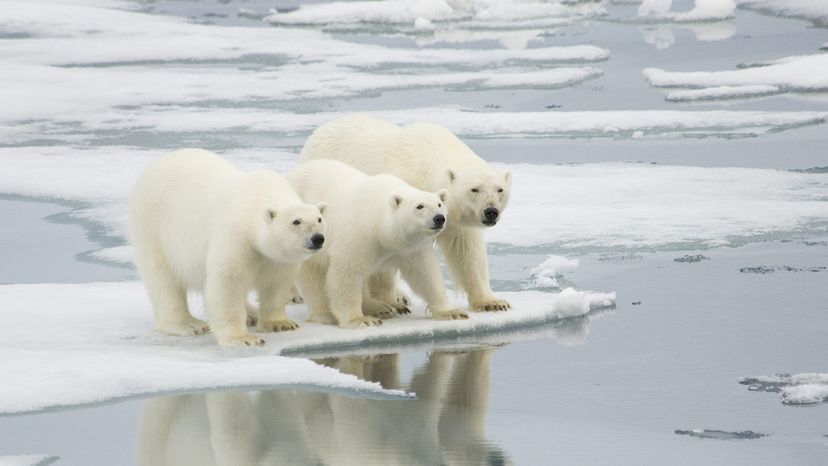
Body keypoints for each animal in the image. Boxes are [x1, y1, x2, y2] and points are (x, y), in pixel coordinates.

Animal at [129, 149, 326, 346]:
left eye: (319, 219)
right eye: (296, 221)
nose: (317, 238)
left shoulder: (277, 257)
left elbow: (276, 282)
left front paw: (281, 324)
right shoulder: (235, 235)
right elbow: (228, 281)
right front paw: (243, 339)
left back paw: (251, 314)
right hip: (152, 228)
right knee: (163, 280)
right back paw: (189, 324)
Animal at [286, 158, 468, 326]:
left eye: (439, 204)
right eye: (420, 206)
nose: (439, 218)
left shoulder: (411, 246)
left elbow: (425, 274)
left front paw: (452, 312)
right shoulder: (359, 235)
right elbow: (346, 274)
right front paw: (359, 319)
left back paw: (385, 307)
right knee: (313, 275)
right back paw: (326, 314)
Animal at [300, 116, 512, 314]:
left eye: (499, 189)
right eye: (474, 189)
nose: (491, 212)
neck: (425, 163)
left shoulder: (453, 220)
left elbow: (466, 251)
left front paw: (492, 302)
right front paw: (389, 302)